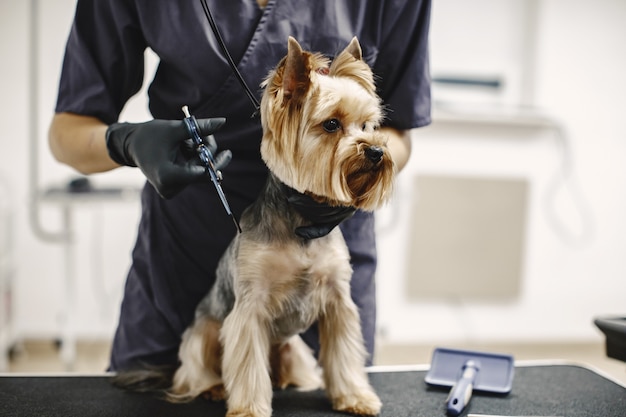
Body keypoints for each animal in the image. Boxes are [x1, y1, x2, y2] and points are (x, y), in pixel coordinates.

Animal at [115, 36, 392, 416]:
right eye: (332, 125)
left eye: (368, 125)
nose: (377, 152)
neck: (303, 222)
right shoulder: (250, 307)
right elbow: (246, 362)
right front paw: (248, 408)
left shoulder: (338, 302)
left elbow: (344, 355)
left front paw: (354, 396)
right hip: (202, 334)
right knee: (195, 369)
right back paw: (211, 387)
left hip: (293, 347)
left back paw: (290, 380)